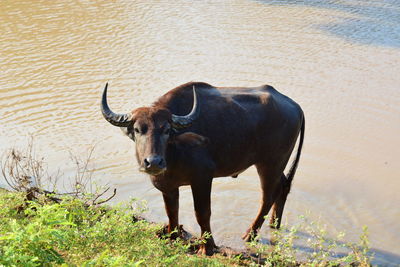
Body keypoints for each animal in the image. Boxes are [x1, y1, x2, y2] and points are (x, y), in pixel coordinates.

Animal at [100, 81, 304, 255]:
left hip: (270, 163)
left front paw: (207, 246)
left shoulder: (202, 179)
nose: (153, 162)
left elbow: (202, 213)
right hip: (276, 165)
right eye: (137, 130)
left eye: (166, 130)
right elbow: (172, 211)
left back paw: (250, 234)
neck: (174, 153)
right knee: (283, 186)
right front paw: (172, 237)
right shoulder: (168, 186)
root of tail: (295, 106)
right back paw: (274, 225)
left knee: (268, 196)